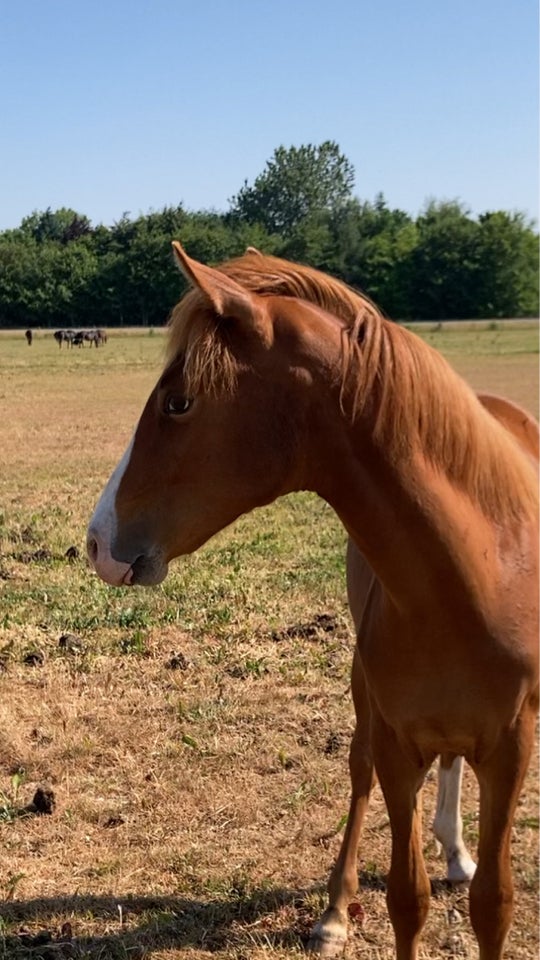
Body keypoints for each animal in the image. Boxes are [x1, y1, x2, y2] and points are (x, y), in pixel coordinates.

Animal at [86, 246, 536, 960]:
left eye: (179, 402)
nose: (97, 541)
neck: (479, 575)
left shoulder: (511, 750)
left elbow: (494, 905)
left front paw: (469, 866)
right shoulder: (396, 744)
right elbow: (407, 899)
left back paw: (456, 850)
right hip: (365, 699)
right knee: (360, 772)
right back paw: (338, 910)